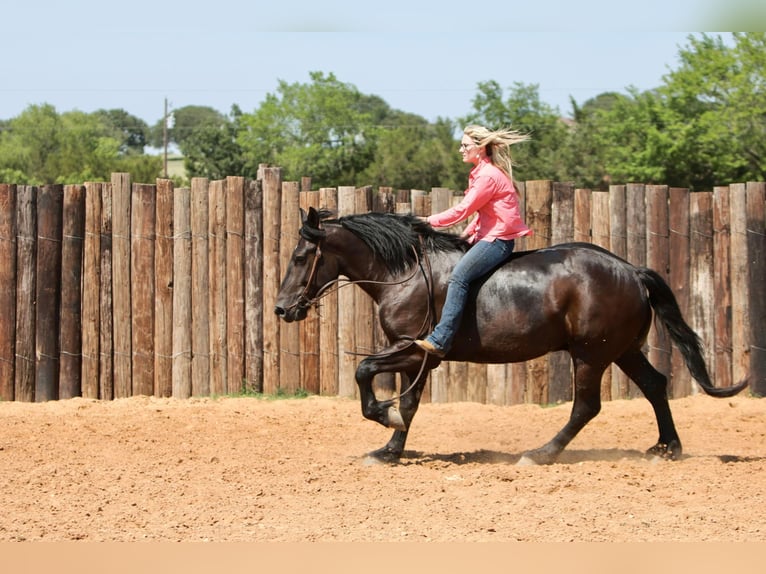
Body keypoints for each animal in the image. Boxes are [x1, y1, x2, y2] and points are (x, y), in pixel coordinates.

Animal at [276, 209, 752, 466]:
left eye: (301, 256)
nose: (282, 309)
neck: (404, 275)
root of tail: (632, 271)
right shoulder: (417, 359)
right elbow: (408, 405)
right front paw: (390, 449)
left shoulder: (413, 351)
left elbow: (364, 372)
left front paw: (382, 417)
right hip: (622, 351)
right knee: (655, 385)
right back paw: (666, 448)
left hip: (590, 355)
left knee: (586, 406)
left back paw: (541, 453)